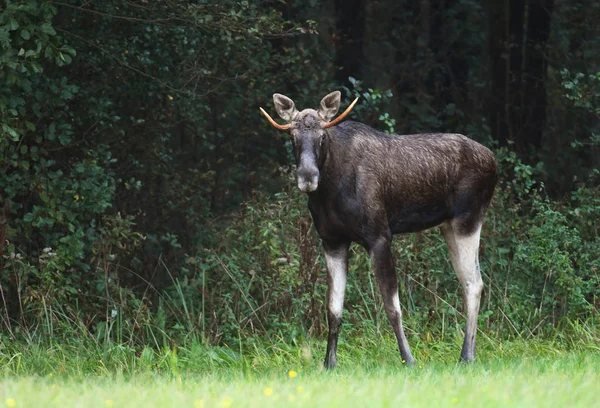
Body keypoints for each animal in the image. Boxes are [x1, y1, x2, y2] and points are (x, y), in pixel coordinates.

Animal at [258, 91, 496, 370]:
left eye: (322, 136)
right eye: (293, 137)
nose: (307, 177)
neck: (330, 190)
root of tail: (493, 161)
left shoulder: (380, 236)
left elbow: (392, 306)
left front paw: (409, 359)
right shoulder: (332, 240)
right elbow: (333, 308)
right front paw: (329, 364)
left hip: (468, 219)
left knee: (474, 283)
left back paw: (467, 356)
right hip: (448, 225)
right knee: (469, 282)